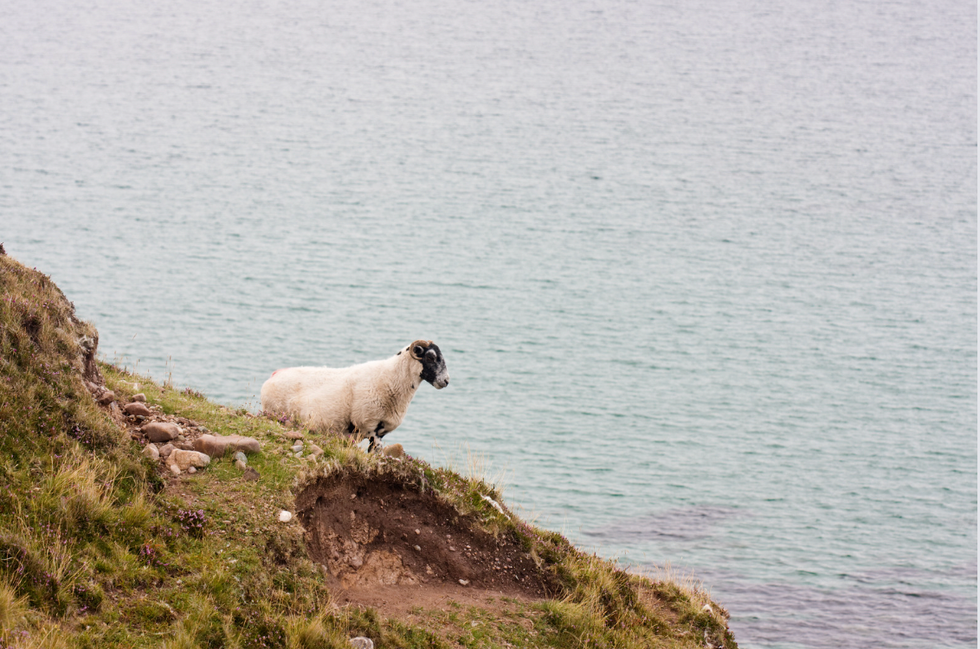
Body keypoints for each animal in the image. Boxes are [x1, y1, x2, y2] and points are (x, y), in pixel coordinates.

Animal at [256, 340, 448, 450]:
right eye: (430, 357)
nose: (446, 381)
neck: (390, 378)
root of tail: (275, 375)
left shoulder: (381, 430)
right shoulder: (369, 425)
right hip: (275, 413)